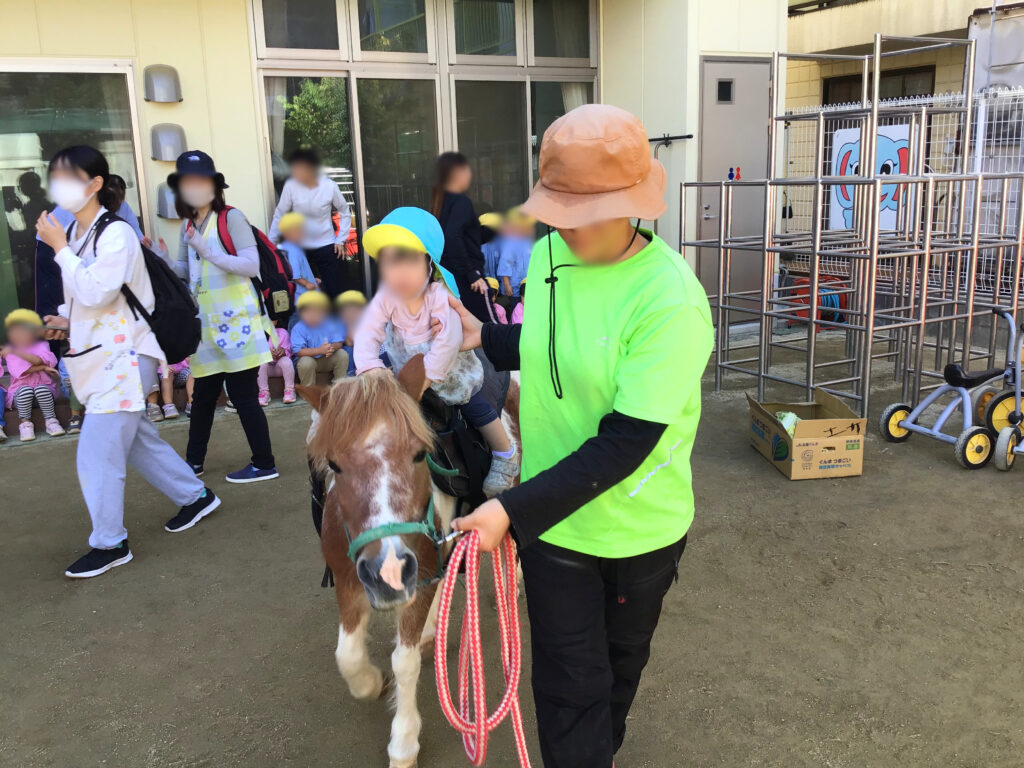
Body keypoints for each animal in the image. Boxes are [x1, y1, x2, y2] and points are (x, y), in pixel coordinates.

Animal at [296, 360, 520, 768]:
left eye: (419, 455)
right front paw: (371, 683)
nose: (388, 572)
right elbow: (347, 655)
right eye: (334, 463)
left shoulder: (420, 572)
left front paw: (403, 743)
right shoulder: (349, 581)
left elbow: (404, 661)